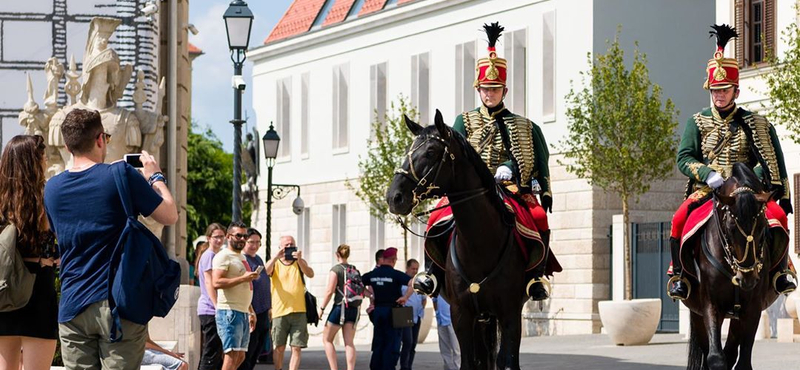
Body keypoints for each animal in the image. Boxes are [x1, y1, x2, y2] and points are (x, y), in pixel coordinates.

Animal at [386, 110, 528, 370]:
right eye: (408, 150)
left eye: (431, 152)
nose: (394, 197)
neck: (479, 244)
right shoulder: (461, 314)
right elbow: (470, 363)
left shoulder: (511, 313)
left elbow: (508, 361)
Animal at [680, 164, 788, 370]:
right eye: (730, 227)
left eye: (762, 226)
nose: (747, 279)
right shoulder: (710, 305)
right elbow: (715, 357)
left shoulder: (753, 307)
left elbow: (743, 362)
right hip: (698, 313)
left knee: (730, 352)